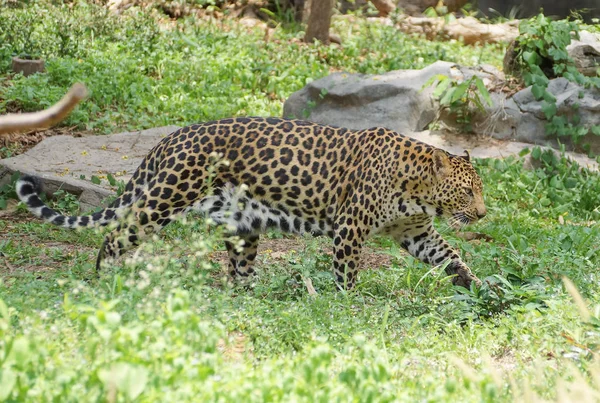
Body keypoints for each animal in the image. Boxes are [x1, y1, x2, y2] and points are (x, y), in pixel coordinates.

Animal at [17, 117, 488, 290]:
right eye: (468, 192)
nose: (484, 214)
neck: (417, 192)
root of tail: (170, 138)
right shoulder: (349, 229)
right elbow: (347, 273)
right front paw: (346, 304)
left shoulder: (416, 233)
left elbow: (448, 254)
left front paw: (474, 284)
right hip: (166, 197)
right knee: (117, 234)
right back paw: (107, 279)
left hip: (242, 223)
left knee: (239, 267)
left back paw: (250, 294)